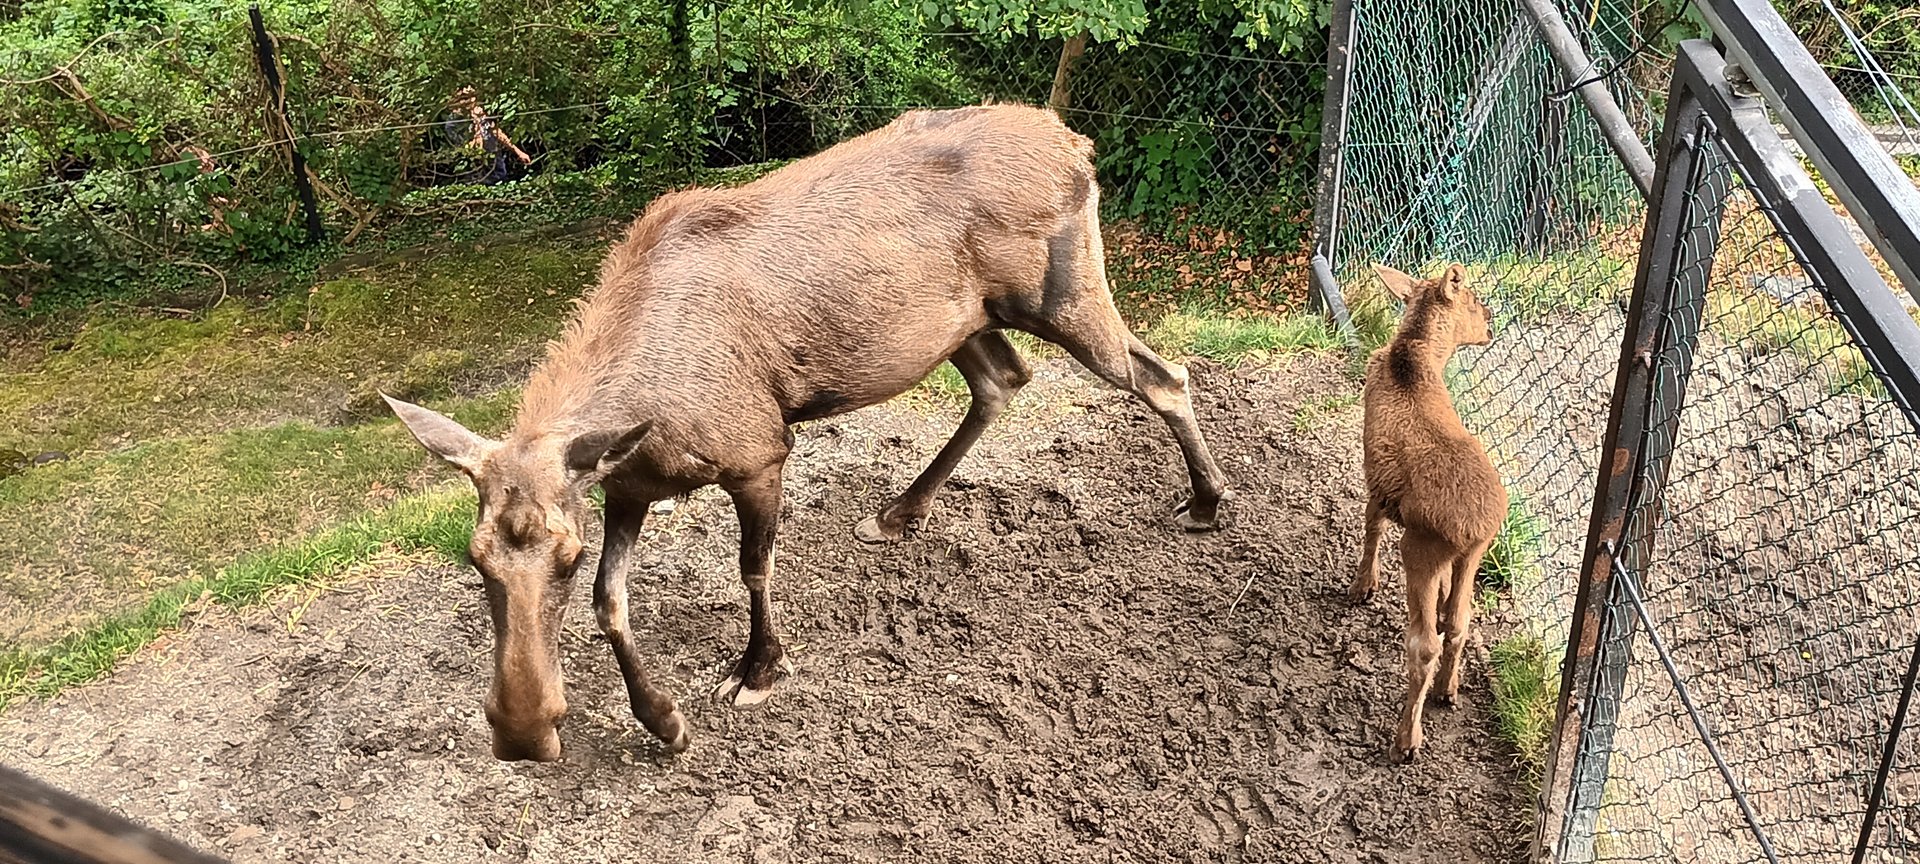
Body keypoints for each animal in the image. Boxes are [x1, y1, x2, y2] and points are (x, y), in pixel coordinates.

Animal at [384, 104, 1232, 762]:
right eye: (475, 557)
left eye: (564, 554)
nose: (522, 734)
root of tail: (1076, 142)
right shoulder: (628, 483)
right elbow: (611, 604)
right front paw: (665, 722)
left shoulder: (758, 451)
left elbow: (753, 568)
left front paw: (758, 671)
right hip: (961, 323)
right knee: (1004, 381)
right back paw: (900, 511)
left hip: (1063, 293)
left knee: (1161, 376)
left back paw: (1206, 501)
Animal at [1349, 262, 1507, 764]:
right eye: (1474, 299)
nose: (1490, 318)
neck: (1413, 358)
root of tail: (1476, 525)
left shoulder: (1375, 478)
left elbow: (1371, 524)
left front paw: (1362, 586)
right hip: (1472, 552)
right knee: (1458, 622)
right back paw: (1447, 690)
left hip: (1421, 548)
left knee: (1423, 645)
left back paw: (1407, 739)